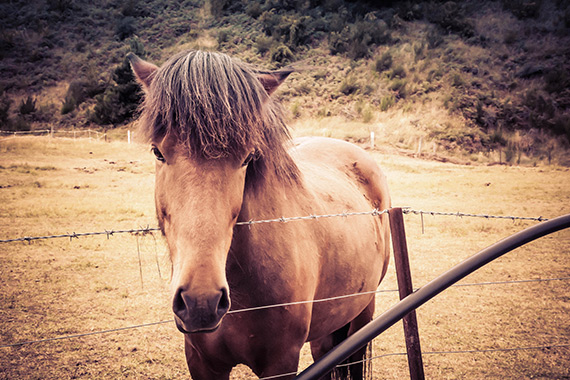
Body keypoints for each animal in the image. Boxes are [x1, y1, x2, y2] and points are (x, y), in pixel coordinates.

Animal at [126, 51, 388, 380]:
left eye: (247, 157)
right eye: (157, 152)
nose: (201, 302)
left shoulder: (280, 364)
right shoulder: (201, 362)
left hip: (363, 313)